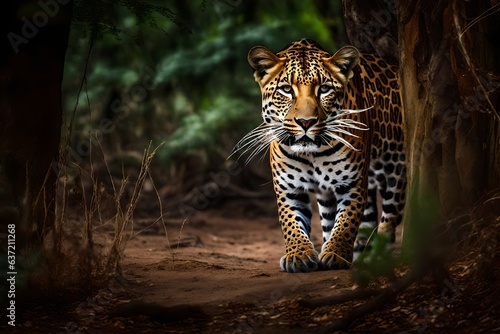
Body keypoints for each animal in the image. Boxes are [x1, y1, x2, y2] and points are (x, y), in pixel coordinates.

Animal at [234, 39, 406, 272]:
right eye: (286, 89)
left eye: (324, 89)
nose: (306, 122)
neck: (311, 154)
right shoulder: (289, 188)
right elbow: (291, 222)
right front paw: (298, 255)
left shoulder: (351, 184)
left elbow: (346, 222)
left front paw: (335, 254)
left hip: (396, 168)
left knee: (389, 217)